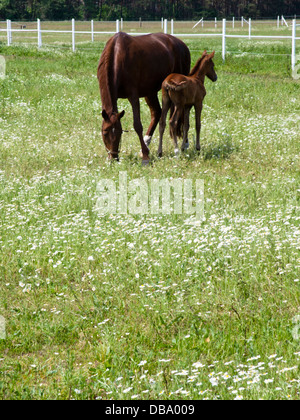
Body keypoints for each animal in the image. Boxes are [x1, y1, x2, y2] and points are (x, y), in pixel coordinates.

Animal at [97, 32, 190, 163]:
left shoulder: (133, 96)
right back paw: (146, 144)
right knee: (156, 113)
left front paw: (146, 157)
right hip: (150, 92)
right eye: (105, 132)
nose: (113, 158)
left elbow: (137, 125)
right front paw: (144, 151)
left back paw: (184, 144)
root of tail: (181, 44)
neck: (117, 55)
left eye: (120, 132)